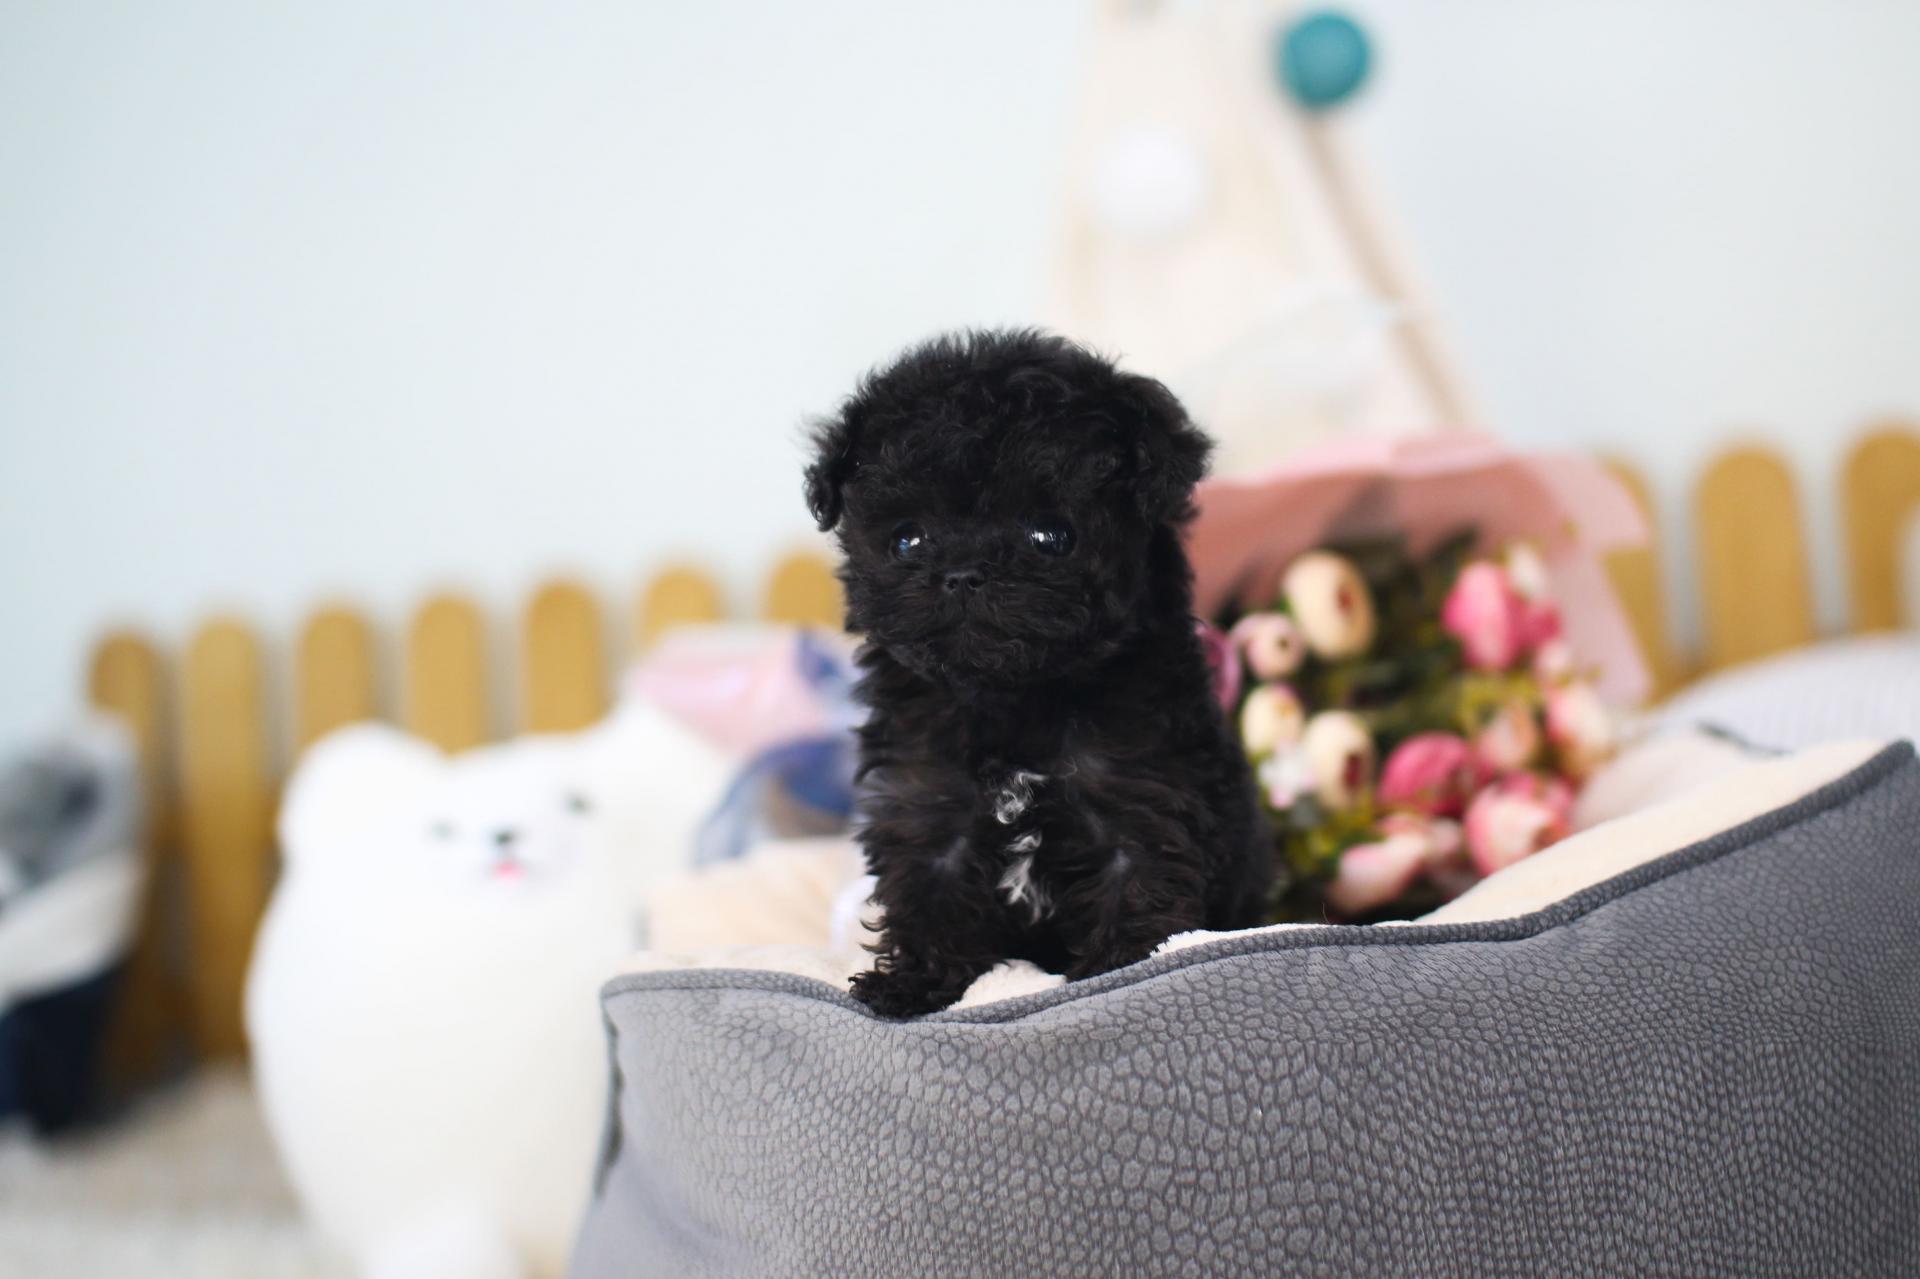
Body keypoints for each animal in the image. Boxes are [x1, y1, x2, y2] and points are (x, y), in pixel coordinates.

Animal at [804, 329, 1273, 1018]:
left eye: (1050, 536)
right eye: (908, 541)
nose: (963, 573)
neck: (1016, 702)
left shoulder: (1142, 799)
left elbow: (1135, 893)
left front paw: (1113, 980)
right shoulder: (929, 810)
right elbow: (928, 898)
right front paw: (911, 986)